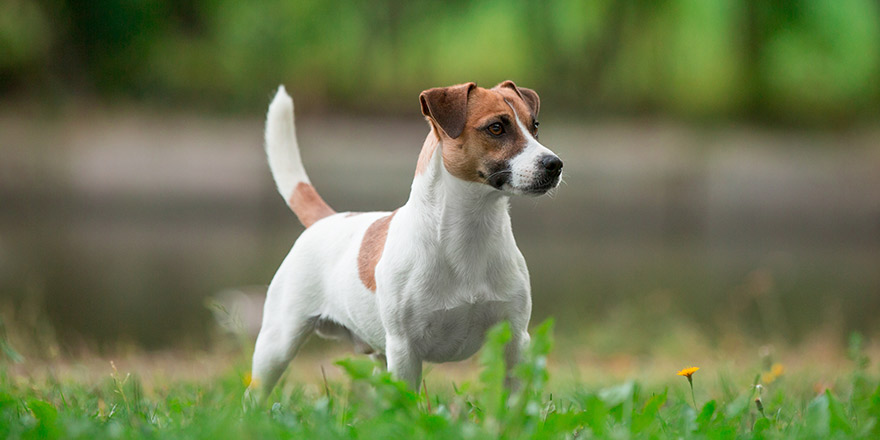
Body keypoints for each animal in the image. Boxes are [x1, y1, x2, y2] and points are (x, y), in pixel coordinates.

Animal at [248, 80, 564, 398]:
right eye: (496, 127)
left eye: (535, 126)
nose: (555, 164)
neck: (469, 235)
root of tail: (326, 219)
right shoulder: (404, 349)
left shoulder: (514, 341)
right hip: (277, 344)